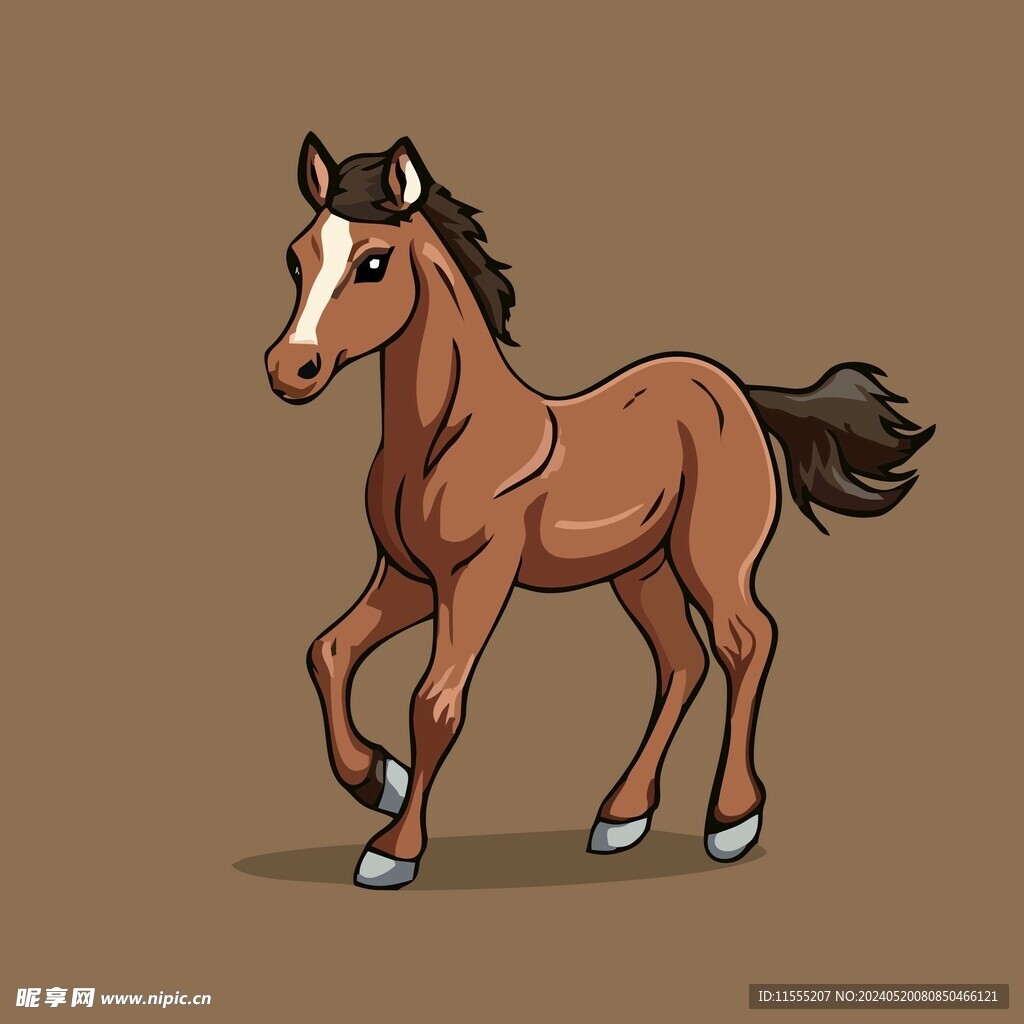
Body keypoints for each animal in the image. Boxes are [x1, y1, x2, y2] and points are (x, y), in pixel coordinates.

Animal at [264, 134, 933, 889]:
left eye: (373, 263)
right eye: (296, 256)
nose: (290, 369)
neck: (449, 436)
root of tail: (736, 389)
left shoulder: (476, 577)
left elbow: (434, 703)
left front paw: (393, 851)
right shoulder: (407, 576)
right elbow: (329, 652)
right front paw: (380, 779)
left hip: (711, 559)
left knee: (746, 641)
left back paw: (731, 820)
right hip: (640, 570)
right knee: (682, 661)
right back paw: (621, 816)